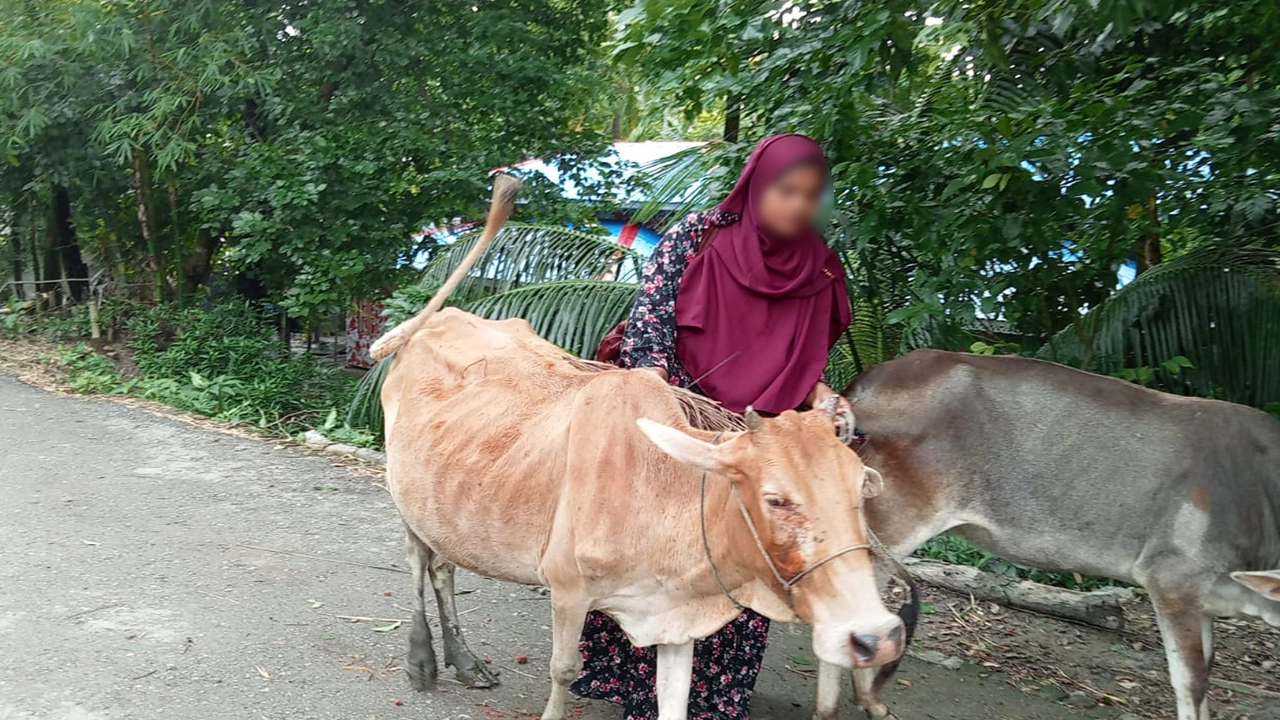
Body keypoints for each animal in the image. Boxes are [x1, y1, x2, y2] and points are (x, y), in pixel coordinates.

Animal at [378, 308, 911, 717]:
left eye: (859, 489)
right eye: (775, 499)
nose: (877, 637)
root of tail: (437, 318)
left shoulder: (675, 620)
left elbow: (674, 699)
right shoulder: (568, 590)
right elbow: (563, 671)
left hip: (443, 509)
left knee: (443, 567)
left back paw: (465, 662)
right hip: (405, 497)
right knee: (418, 563)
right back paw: (422, 661)